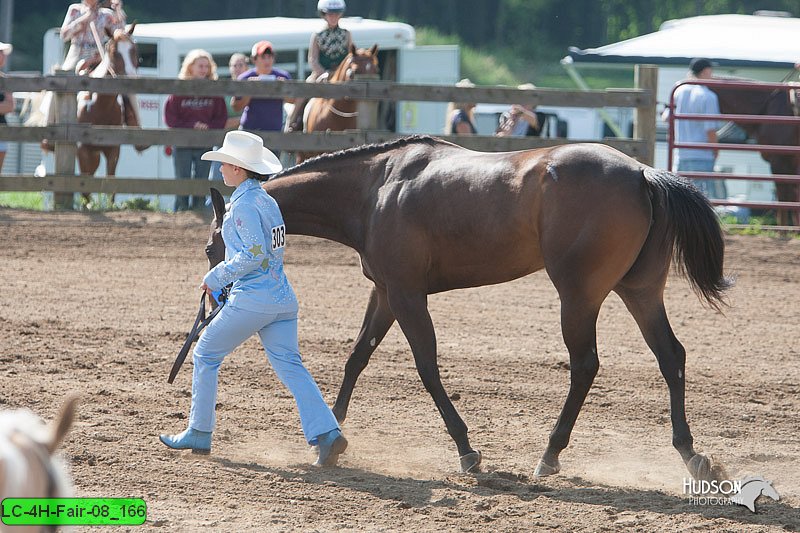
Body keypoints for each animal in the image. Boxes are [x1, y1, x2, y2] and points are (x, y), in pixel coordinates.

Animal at [206, 135, 732, 480]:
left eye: (214, 246)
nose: (216, 298)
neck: (376, 188)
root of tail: (642, 173)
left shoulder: (407, 295)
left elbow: (427, 366)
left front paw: (466, 449)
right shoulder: (386, 293)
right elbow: (357, 358)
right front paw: (328, 444)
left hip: (579, 296)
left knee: (585, 365)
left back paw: (549, 455)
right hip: (640, 291)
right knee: (671, 357)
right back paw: (690, 453)